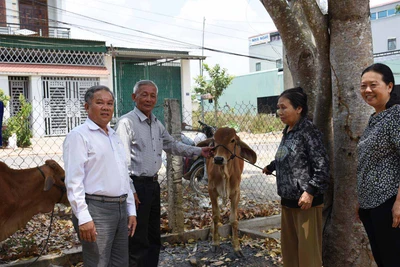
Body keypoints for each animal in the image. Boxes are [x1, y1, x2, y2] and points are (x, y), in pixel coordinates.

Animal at [198, 129, 258, 258]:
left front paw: (237, 247)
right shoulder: (211, 190)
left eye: (232, 140)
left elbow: (234, 219)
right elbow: (215, 216)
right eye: (214, 140)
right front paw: (215, 243)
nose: (218, 159)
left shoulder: (236, 193)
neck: (224, 172)